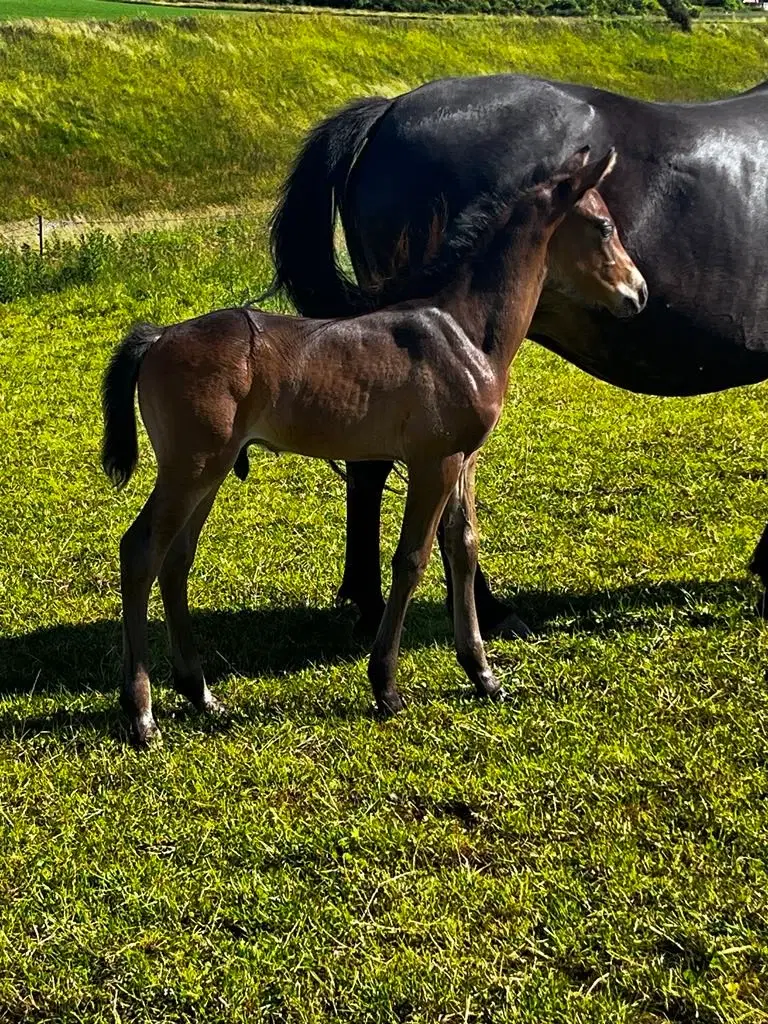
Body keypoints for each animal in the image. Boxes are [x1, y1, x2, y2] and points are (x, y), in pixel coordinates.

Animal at [102, 148, 643, 749]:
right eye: (604, 226)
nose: (638, 292)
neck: (463, 329)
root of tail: (158, 336)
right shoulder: (433, 462)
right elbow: (412, 558)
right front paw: (385, 685)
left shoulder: (462, 460)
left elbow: (463, 548)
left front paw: (482, 673)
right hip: (191, 468)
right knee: (141, 551)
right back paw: (141, 711)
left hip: (210, 472)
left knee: (176, 560)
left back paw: (200, 693)